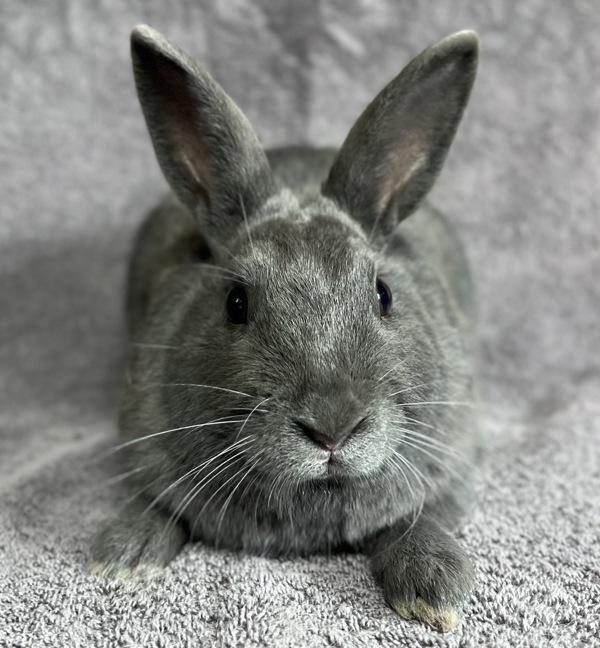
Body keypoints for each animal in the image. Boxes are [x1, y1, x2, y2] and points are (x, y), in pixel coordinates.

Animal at [91, 24, 481, 633]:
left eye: (383, 294)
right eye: (235, 303)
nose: (333, 428)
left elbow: (418, 519)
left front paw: (435, 589)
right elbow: (155, 503)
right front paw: (123, 556)